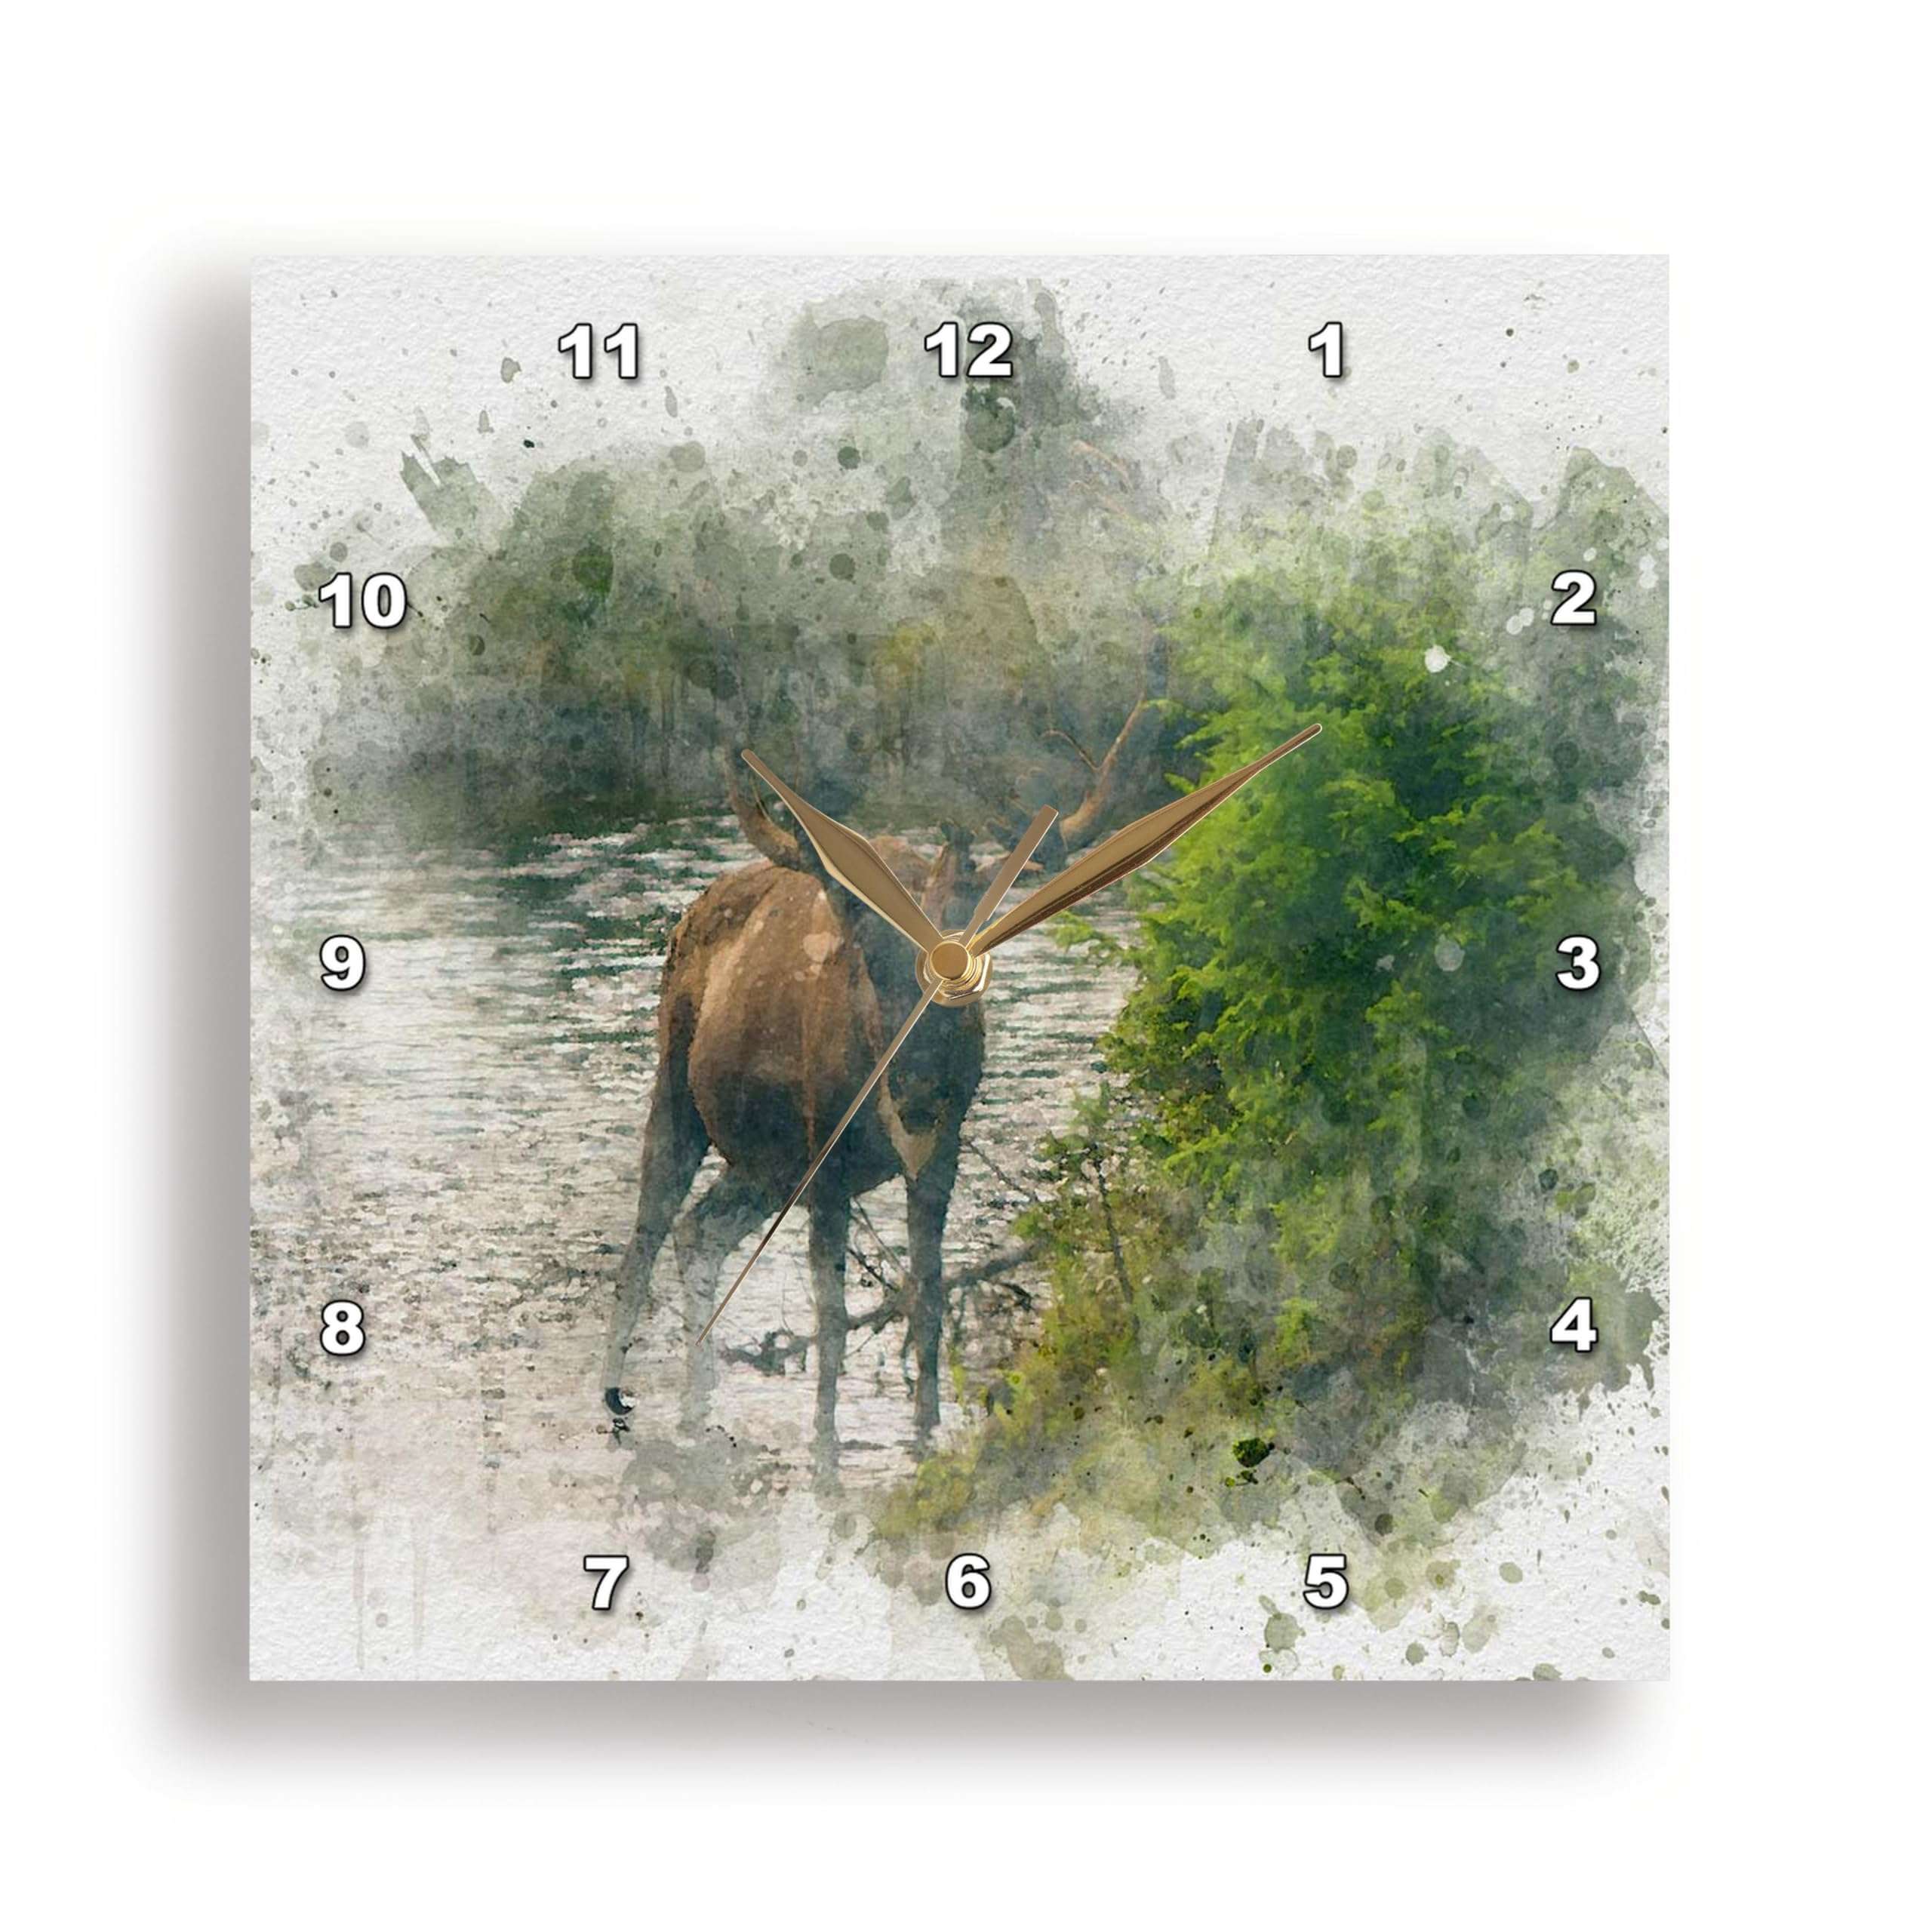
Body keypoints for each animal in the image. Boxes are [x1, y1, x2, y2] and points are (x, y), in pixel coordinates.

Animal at [601, 700, 1165, 1483]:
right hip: (681, 1093)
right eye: (869, 954)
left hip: (765, 1167)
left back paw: (699, 1395)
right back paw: (616, 1396)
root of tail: (692, 912)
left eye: (971, 951)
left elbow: (927, 1298)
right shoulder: (828, 1160)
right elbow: (833, 1317)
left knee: (700, 1232)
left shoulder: (941, 1154)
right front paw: (826, 1452)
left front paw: (928, 1432)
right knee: (646, 1241)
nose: (921, 1087)